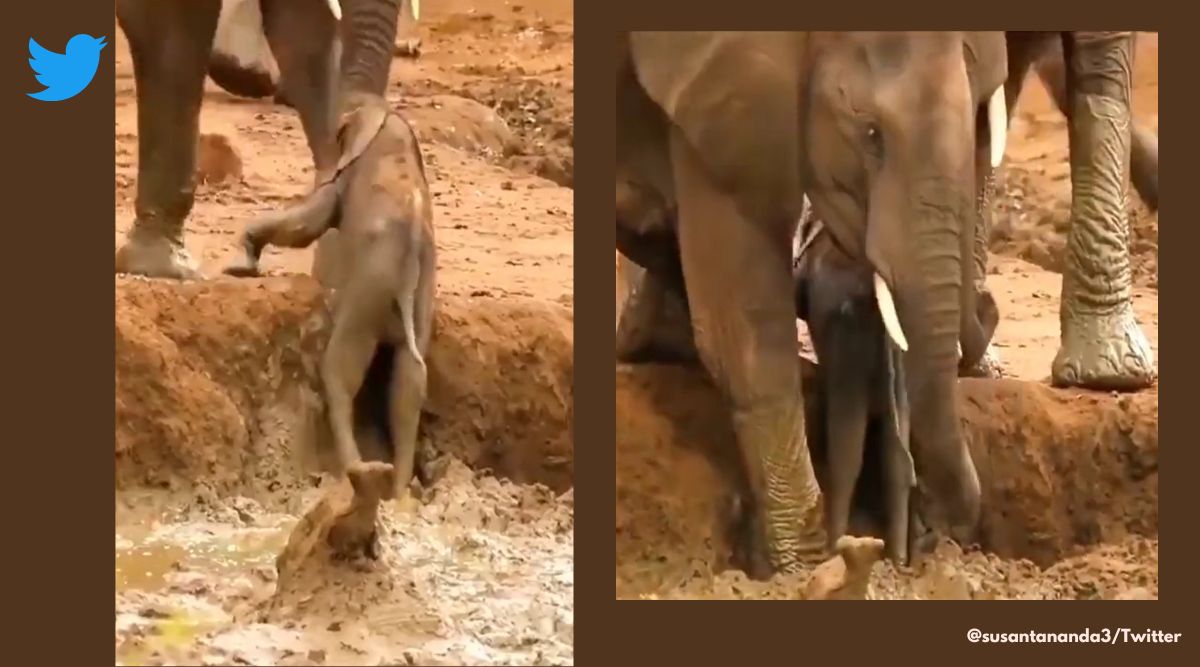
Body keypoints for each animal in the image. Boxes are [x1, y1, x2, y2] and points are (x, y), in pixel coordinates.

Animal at [223, 95, 436, 500]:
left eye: (338, 134)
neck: (388, 115)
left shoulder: (344, 179)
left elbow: (313, 220)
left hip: (370, 290)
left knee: (340, 368)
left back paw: (357, 473)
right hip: (421, 297)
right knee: (410, 379)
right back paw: (398, 491)